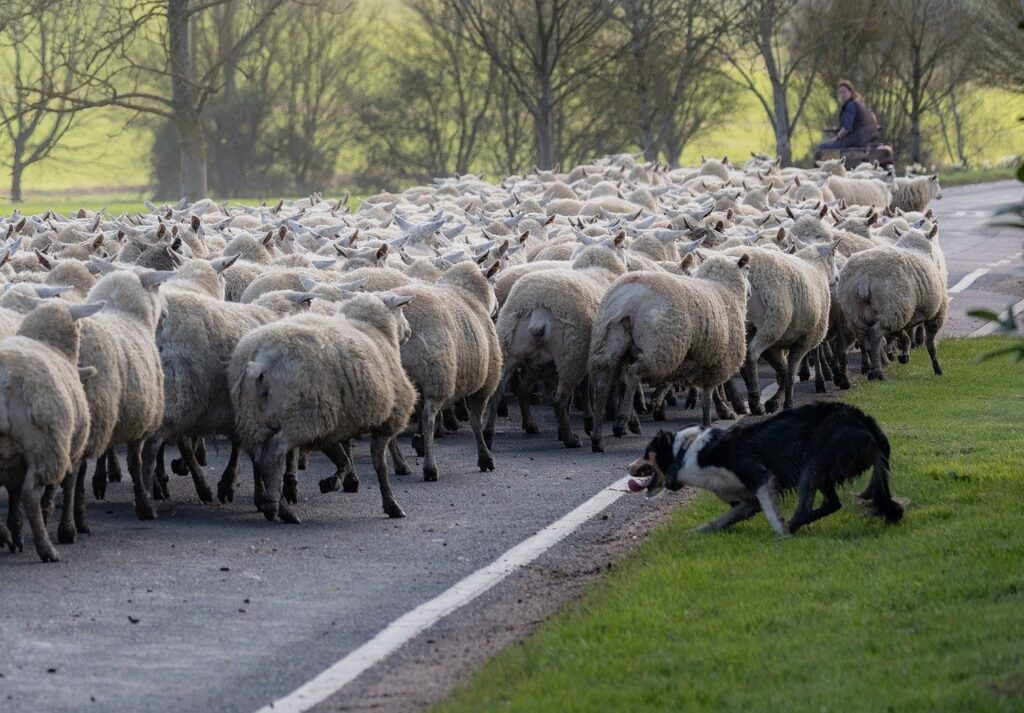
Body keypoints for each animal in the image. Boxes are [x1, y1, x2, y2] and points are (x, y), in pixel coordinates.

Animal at [0, 301, 103, 561]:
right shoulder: (70, 447)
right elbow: (67, 486)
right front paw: (67, 530)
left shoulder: (13, 459)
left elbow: (13, 494)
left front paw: (16, 531)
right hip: (45, 446)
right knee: (31, 494)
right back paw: (46, 548)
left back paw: (4, 533)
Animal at [229, 293, 417, 523]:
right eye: (401, 309)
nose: (409, 331)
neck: (376, 330)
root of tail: (262, 359)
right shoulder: (386, 421)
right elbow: (379, 465)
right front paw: (391, 504)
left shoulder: (331, 429)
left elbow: (344, 460)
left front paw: (332, 482)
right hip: (302, 416)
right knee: (275, 452)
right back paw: (277, 507)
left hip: (255, 416)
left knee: (259, 458)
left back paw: (276, 503)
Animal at [588, 253, 750, 450]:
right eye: (748, 269)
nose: (750, 292)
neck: (725, 289)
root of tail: (630, 298)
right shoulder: (716, 363)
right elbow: (707, 397)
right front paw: (710, 423)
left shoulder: (703, 361)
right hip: (661, 348)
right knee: (634, 373)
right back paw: (621, 422)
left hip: (607, 343)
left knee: (603, 384)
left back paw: (597, 437)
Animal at [837, 225, 947, 380]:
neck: (916, 248)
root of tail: (864, 277)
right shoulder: (937, 312)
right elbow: (930, 344)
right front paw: (937, 369)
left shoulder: (904, 317)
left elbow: (903, 335)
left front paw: (905, 355)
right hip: (892, 308)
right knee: (876, 334)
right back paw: (879, 373)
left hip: (859, 313)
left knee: (866, 340)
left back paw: (872, 370)